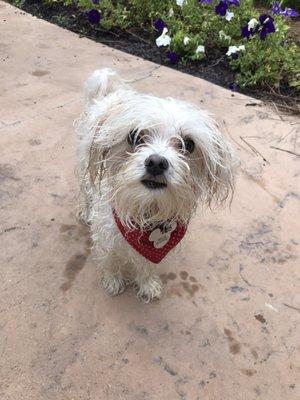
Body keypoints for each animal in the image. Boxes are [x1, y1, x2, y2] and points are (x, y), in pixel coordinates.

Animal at [75, 69, 237, 302]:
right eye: (134, 136)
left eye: (189, 144)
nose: (157, 163)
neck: (147, 212)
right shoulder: (106, 234)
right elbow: (110, 259)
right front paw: (113, 281)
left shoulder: (154, 250)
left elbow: (147, 266)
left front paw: (147, 284)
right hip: (82, 166)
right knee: (84, 189)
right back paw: (84, 210)